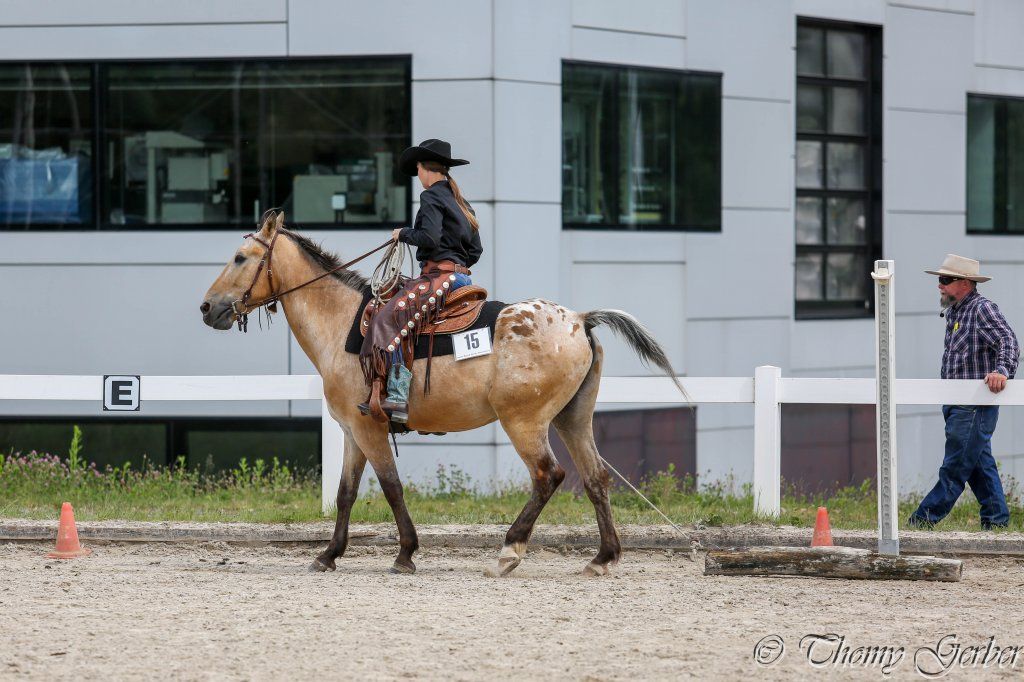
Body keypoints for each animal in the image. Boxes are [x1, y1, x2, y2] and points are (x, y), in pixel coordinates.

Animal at [200, 210, 685, 577]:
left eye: (241, 257)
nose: (208, 307)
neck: (342, 325)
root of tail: (580, 319)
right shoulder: (353, 431)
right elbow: (346, 494)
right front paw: (328, 555)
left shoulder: (369, 427)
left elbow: (392, 487)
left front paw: (405, 554)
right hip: (573, 419)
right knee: (596, 477)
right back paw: (602, 558)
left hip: (525, 423)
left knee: (549, 476)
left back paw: (509, 552)